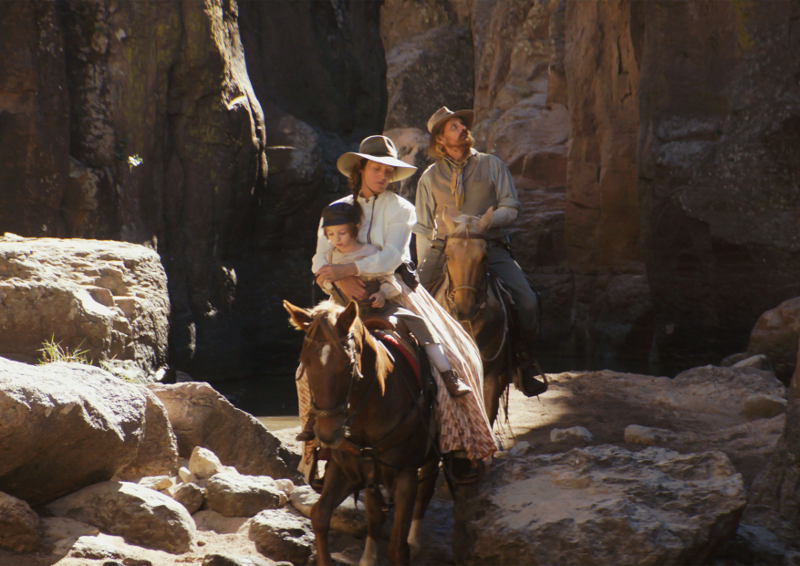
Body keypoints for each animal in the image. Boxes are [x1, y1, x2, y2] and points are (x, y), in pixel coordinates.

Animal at [284, 300, 440, 564]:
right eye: (304, 360)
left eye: (348, 363)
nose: (327, 433)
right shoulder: (343, 467)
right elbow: (320, 515)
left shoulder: (406, 473)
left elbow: (397, 548)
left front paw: (405, 545)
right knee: (375, 512)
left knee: (426, 489)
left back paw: (415, 541)